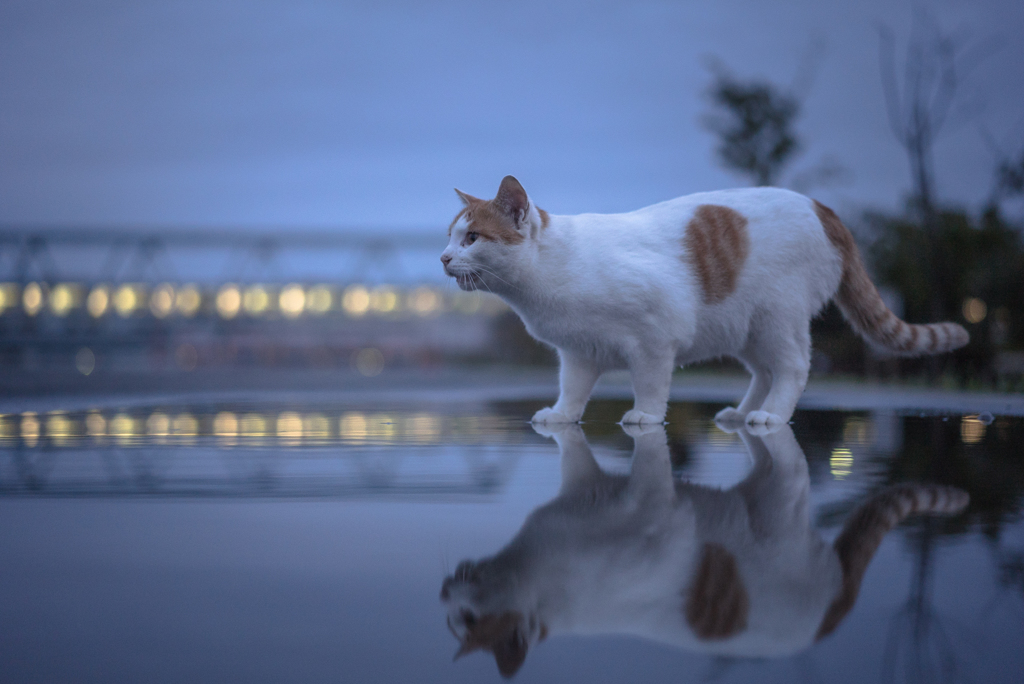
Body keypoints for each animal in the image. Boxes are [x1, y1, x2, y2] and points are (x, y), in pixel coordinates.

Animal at [440, 179, 966, 430]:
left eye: (472, 238)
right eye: (449, 237)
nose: (443, 257)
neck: (552, 271)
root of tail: (823, 208)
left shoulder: (655, 338)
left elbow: (651, 385)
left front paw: (646, 415)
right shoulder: (578, 352)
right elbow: (572, 391)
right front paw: (563, 415)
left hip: (778, 316)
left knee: (793, 368)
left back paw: (771, 415)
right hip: (746, 328)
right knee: (764, 372)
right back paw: (740, 411)